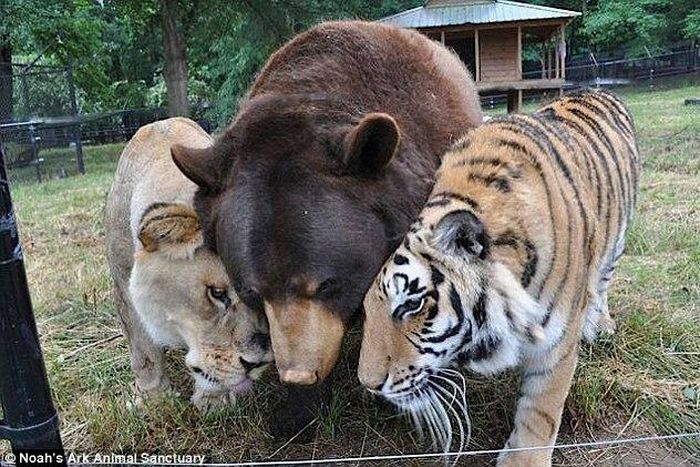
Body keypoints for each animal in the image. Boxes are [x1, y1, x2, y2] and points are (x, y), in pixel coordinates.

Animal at [105, 117, 273, 409]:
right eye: (217, 293)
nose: (258, 363)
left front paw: (213, 400)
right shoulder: (123, 282)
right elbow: (143, 351)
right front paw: (154, 400)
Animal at [358, 89, 639, 466]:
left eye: (411, 304)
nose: (368, 384)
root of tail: (598, 89)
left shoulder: (557, 344)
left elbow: (540, 411)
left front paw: (523, 459)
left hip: (618, 238)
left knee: (604, 279)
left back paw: (602, 323)